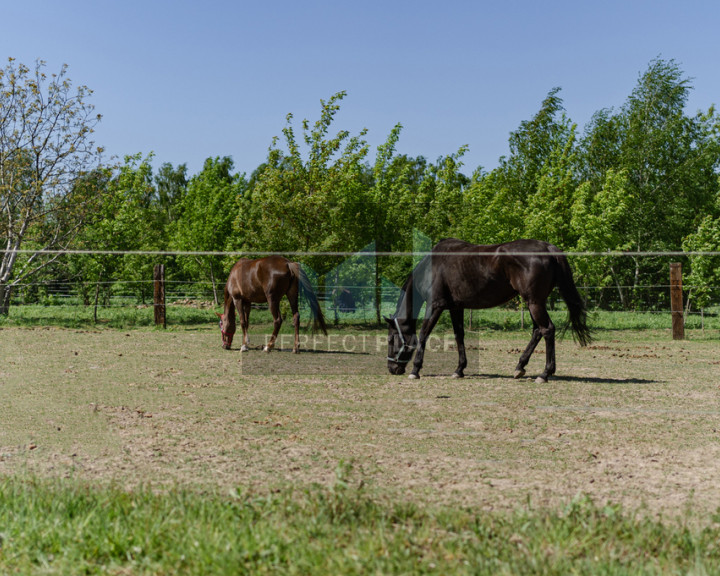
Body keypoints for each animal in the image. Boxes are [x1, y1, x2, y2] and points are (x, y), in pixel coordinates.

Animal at [388, 238, 592, 382]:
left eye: (391, 338)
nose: (392, 369)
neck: (432, 266)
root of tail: (548, 247)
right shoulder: (456, 307)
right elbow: (459, 335)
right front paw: (459, 370)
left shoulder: (435, 306)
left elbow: (424, 334)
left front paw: (415, 370)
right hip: (534, 303)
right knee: (537, 331)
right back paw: (520, 367)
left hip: (534, 302)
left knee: (547, 330)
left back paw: (544, 374)